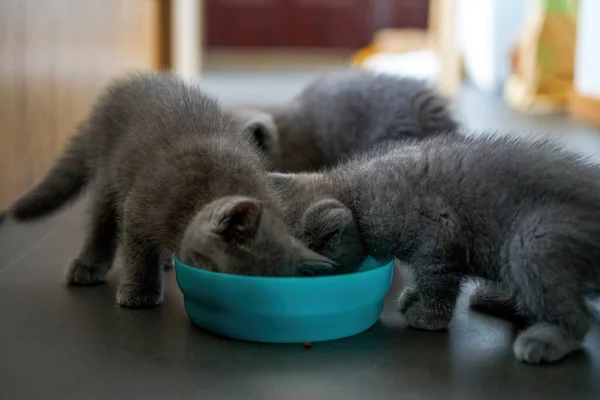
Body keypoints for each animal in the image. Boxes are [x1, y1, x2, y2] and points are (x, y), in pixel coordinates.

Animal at [5, 73, 332, 308]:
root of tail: (124, 85)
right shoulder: (139, 207)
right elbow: (137, 252)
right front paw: (139, 292)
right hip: (107, 175)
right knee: (101, 223)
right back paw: (88, 265)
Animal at [270, 135, 600, 366]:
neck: (357, 192)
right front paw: (414, 296)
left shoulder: (437, 237)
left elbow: (437, 281)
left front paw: (429, 315)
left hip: (534, 241)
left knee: (576, 316)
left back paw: (546, 339)